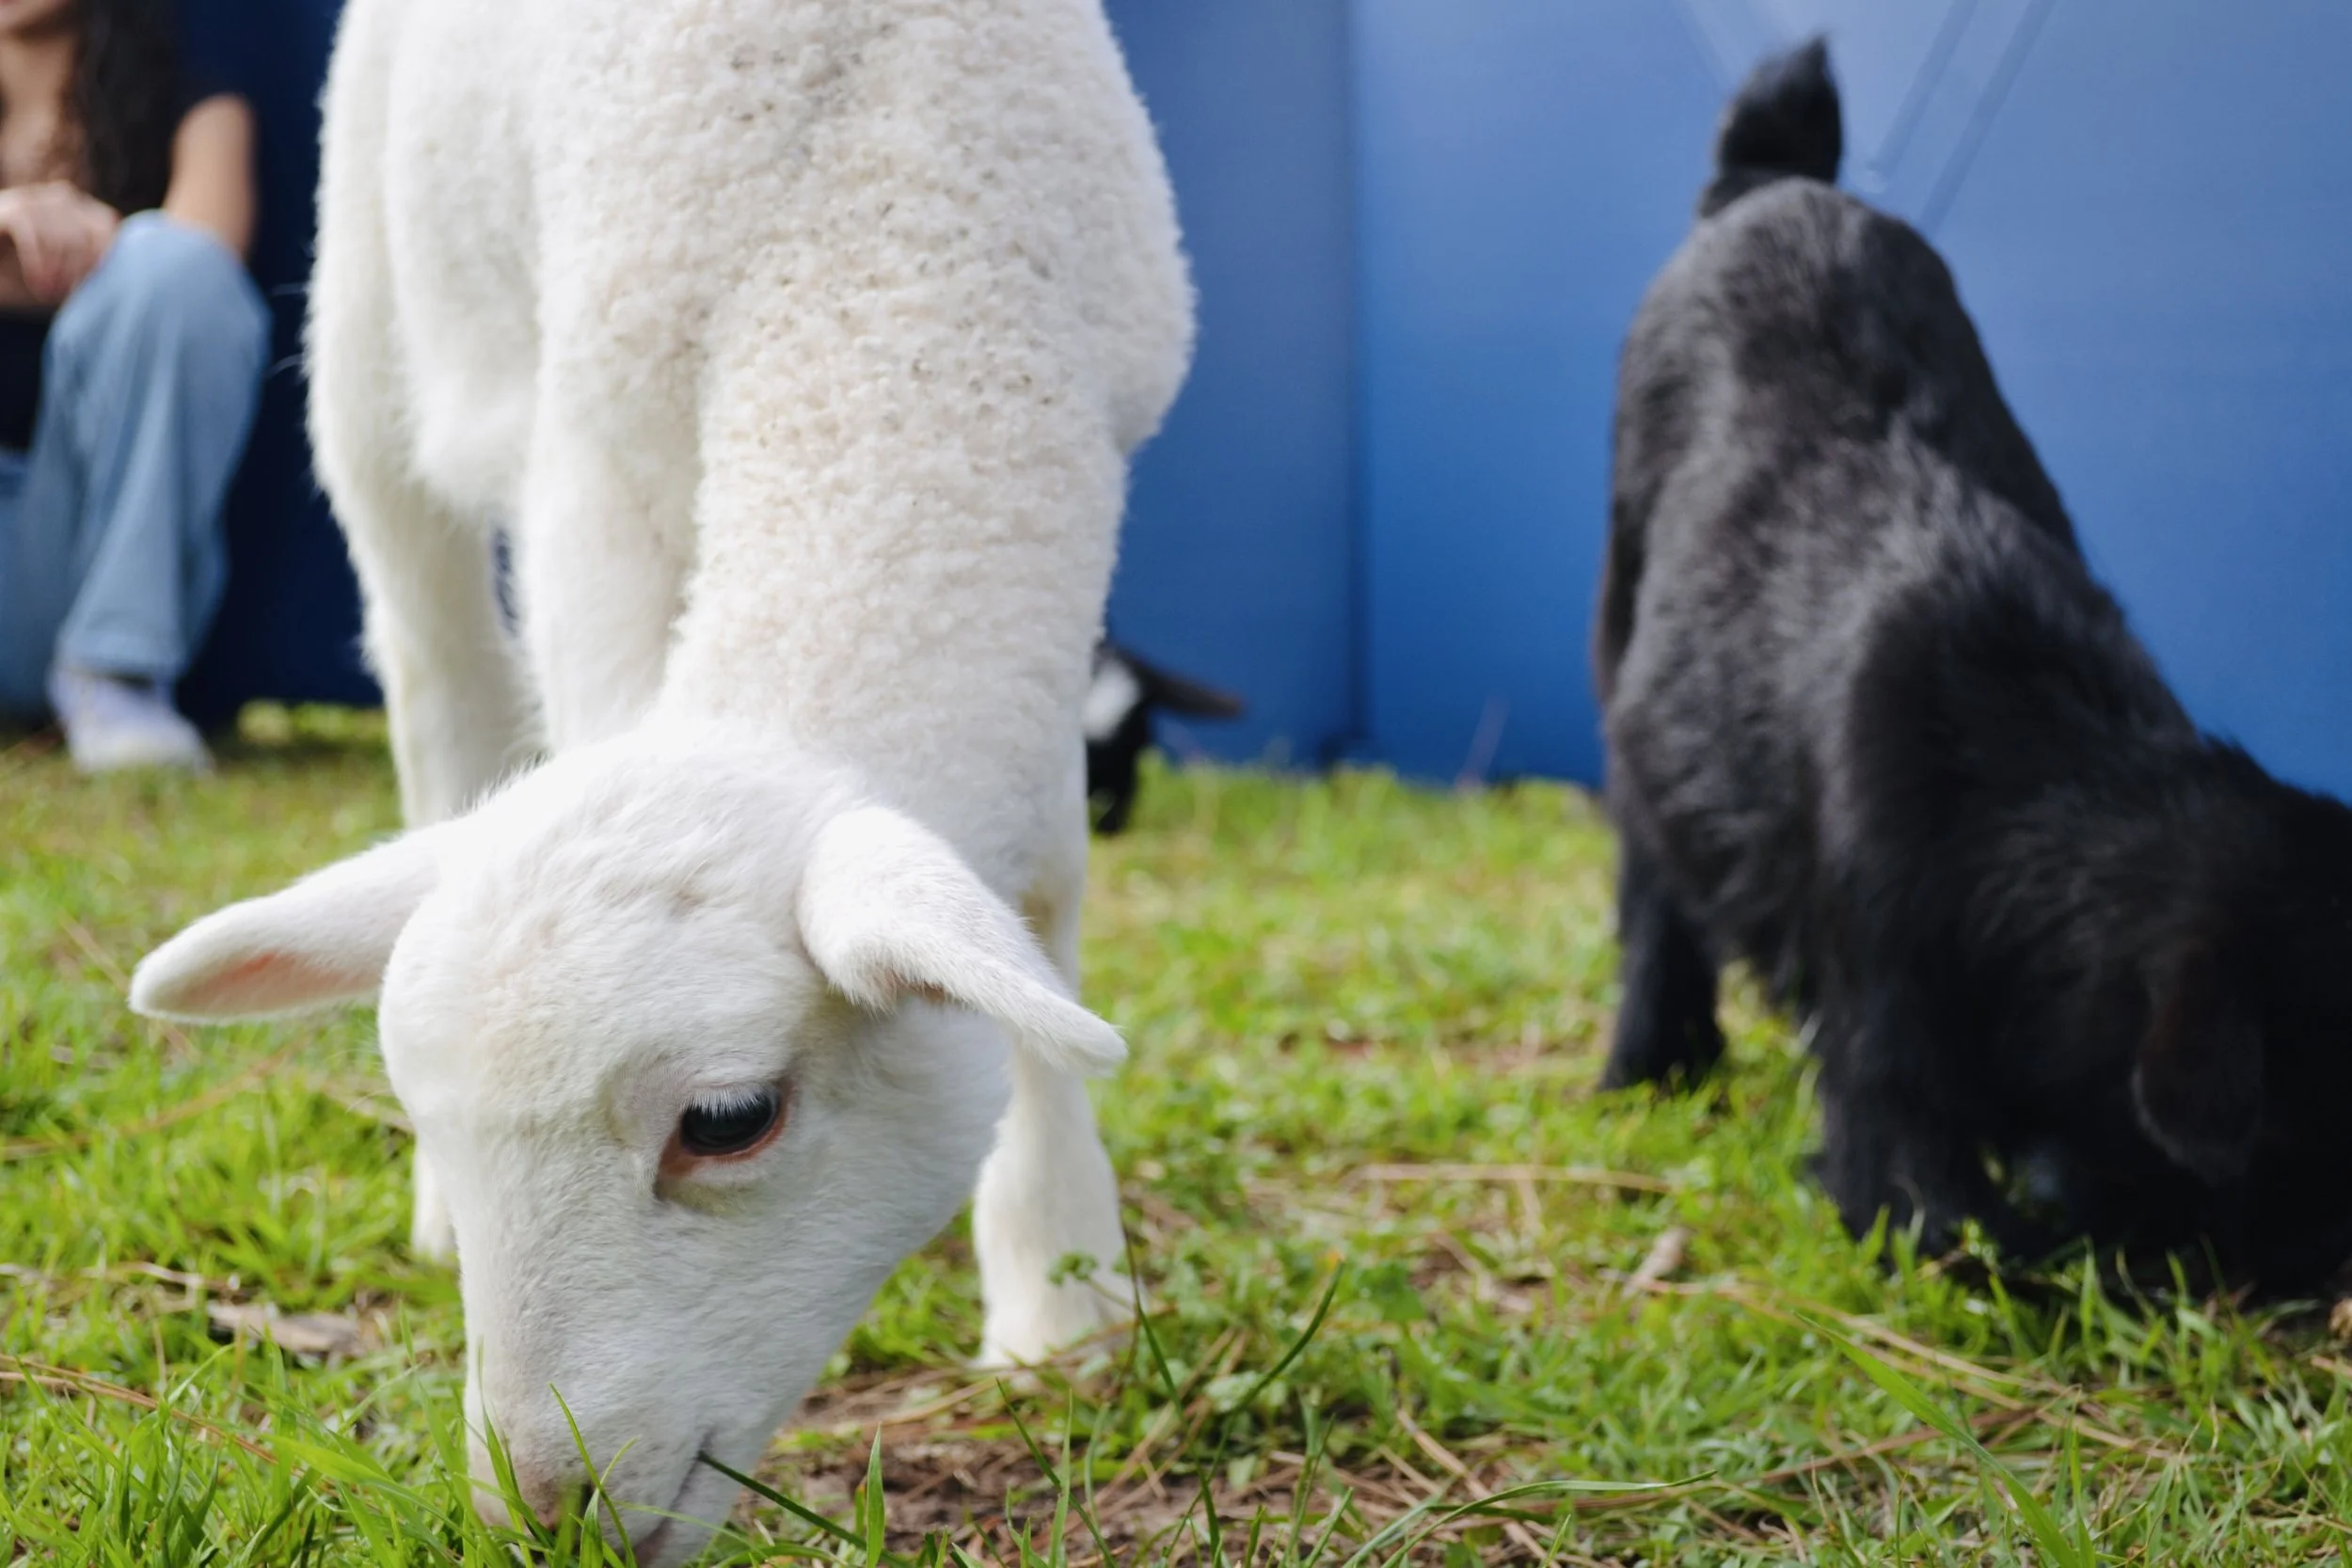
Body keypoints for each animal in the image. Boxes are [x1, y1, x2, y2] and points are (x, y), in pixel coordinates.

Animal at [127, 1, 1192, 1558]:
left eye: (729, 1121)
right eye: (422, 1104)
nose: (543, 1508)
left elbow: (1041, 896)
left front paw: (1065, 1297)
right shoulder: (595, 456)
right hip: (377, 333)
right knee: (438, 669)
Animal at [1596, 38, 2352, 1289]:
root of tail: (1772, 180)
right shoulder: (1882, 1027)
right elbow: (1946, 1222)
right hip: (1618, 627)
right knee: (1651, 878)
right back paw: (1649, 1065)